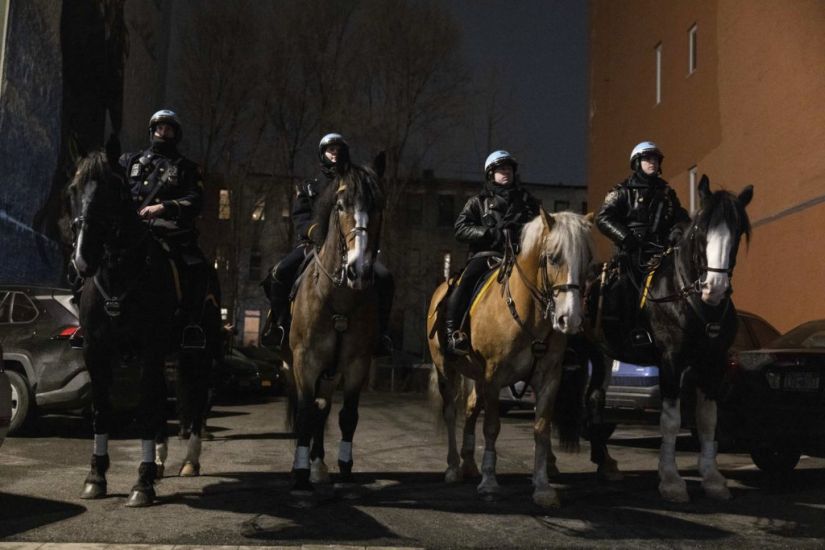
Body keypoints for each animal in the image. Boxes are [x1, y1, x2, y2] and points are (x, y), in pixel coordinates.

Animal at [67, 151, 222, 508]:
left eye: (113, 190)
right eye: (72, 189)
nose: (82, 259)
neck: (119, 275)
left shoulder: (151, 349)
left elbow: (148, 409)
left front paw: (142, 482)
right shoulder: (97, 351)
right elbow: (102, 409)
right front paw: (96, 476)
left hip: (199, 353)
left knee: (197, 400)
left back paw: (189, 460)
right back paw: (162, 461)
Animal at [284, 155, 386, 496]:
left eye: (379, 204)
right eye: (341, 205)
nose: (359, 270)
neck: (338, 298)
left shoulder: (356, 364)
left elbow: (347, 416)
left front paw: (343, 467)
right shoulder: (304, 361)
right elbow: (304, 413)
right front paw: (300, 473)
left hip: (330, 374)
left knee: (323, 407)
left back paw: (319, 464)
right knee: (309, 409)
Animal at [424, 210, 592, 508]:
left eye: (587, 259)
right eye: (553, 257)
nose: (570, 319)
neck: (529, 314)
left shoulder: (549, 378)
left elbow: (541, 428)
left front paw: (543, 486)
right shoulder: (495, 376)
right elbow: (492, 427)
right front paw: (490, 482)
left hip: (476, 377)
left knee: (470, 408)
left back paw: (469, 464)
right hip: (447, 369)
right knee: (451, 412)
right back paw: (453, 467)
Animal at [592, 177, 752, 504]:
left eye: (739, 231)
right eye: (701, 229)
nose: (714, 288)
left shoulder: (713, 364)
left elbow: (708, 420)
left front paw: (712, 479)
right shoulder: (670, 361)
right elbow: (671, 420)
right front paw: (670, 480)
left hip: (599, 356)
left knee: (594, 403)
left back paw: (603, 463)